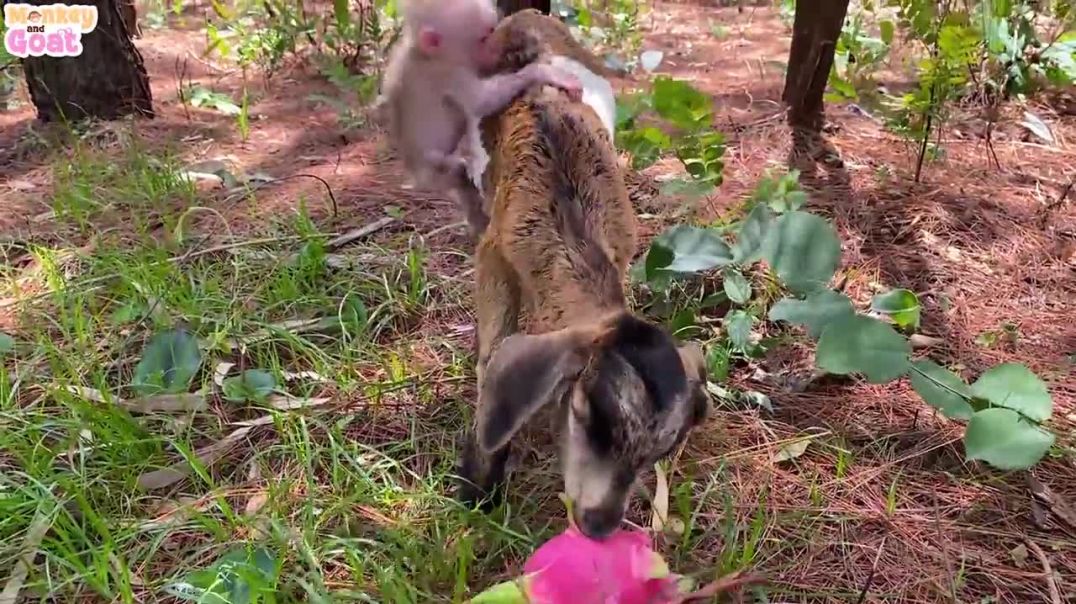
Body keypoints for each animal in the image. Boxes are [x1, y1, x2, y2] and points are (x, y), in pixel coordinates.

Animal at [379, 0, 584, 239]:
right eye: (483, 39)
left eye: (492, 32)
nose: (493, 49)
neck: (426, 53)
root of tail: (414, 176)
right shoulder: (451, 73)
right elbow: (482, 102)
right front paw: (541, 71)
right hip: (432, 170)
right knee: (457, 171)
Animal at [455, 10, 710, 540]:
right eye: (585, 414)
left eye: (660, 450)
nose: (598, 523)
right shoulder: (495, 252)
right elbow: (492, 352)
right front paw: (479, 484)